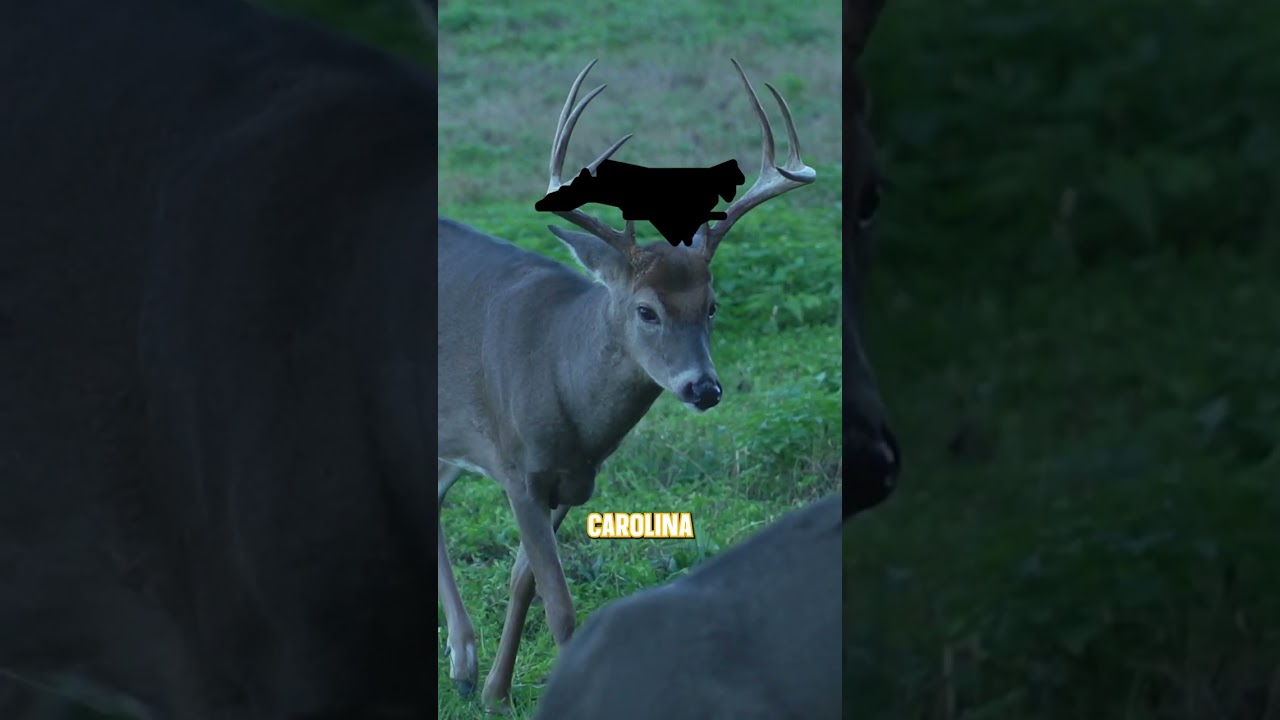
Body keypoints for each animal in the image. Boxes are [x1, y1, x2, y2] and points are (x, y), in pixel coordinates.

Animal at [437, 55, 899, 711]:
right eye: (646, 310)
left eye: (712, 305)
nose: (703, 388)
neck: (558, 373)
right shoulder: (517, 467)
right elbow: (559, 605)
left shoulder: (569, 481)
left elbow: (523, 579)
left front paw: (494, 693)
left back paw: (463, 663)